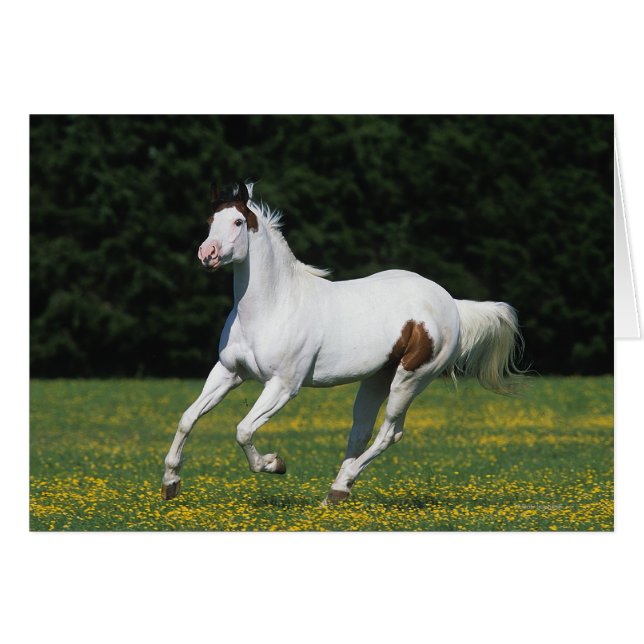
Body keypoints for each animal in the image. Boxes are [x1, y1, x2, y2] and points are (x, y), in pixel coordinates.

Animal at [161, 181, 524, 505]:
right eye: (210, 220)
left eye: (238, 221)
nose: (207, 254)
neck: (273, 306)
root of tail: (450, 303)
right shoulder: (228, 373)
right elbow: (188, 418)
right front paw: (170, 483)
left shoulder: (283, 386)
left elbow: (243, 430)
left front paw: (275, 464)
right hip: (378, 378)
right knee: (361, 431)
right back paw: (336, 492)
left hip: (410, 379)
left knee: (389, 433)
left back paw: (340, 486)